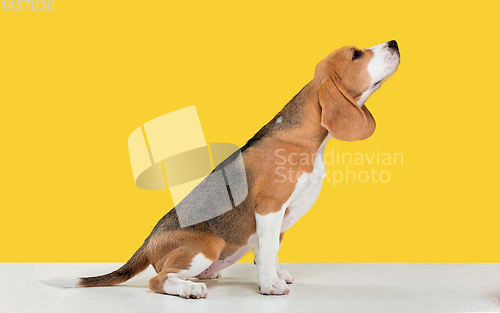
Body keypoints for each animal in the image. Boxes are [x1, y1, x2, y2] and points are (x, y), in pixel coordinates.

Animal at [45, 39, 400, 298]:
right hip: (206, 246)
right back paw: (189, 289)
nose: (394, 42)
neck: (308, 139)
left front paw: (275, 273)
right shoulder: (270, 206)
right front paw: (269, 285)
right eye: (356, 54)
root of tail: (148, 241)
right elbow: (267, 249)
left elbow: (271, 248)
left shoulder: (281, 215)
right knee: (158, 280)